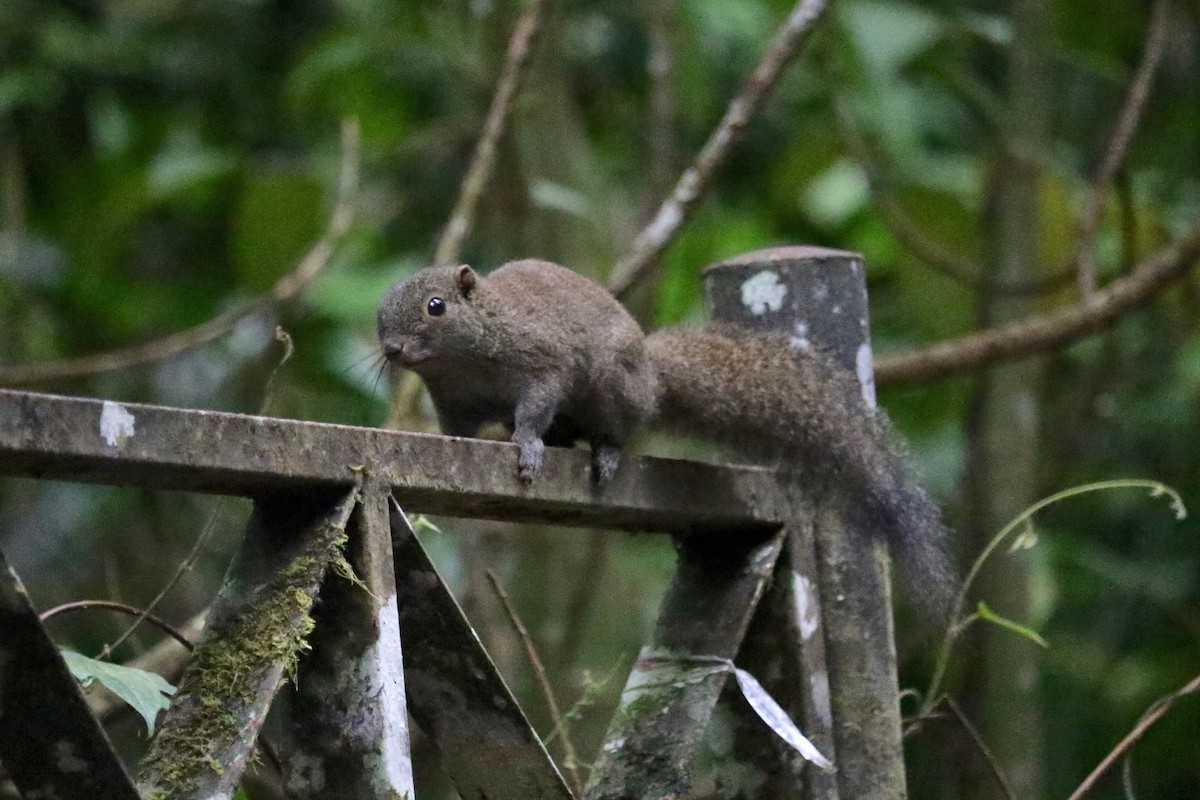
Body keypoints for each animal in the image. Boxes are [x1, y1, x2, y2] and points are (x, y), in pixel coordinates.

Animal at [377, 258, 955, 617]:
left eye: (435, 306)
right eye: (381, 315)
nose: (391, 349)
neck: (464, 361)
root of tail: (653, 380)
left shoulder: (541, 362)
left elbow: (536, 406)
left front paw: (527, 445)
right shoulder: (453, 400)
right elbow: (455, 432)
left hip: (614, 388)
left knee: (615, 430)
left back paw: (605, 454)